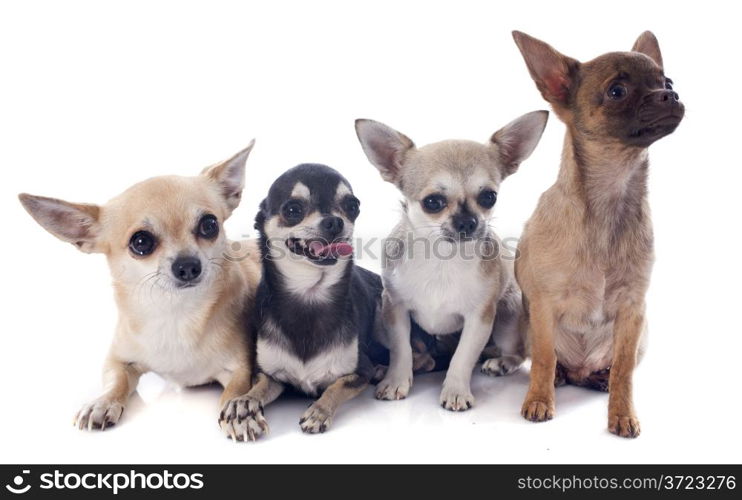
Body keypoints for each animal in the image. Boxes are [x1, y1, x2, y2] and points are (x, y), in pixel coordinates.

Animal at [18, 143, 264, 436]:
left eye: (209, 225)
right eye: (141, 242)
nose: (188, 266)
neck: (177, 314)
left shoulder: (239, 369)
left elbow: (234, 390)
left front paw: (239, 411)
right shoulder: (117, 360)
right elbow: (116, 381)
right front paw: (102, 403)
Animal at [219, 162, 384, 440]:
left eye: (352, 206)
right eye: (293, 209)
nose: (334, 221)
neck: (309, 295)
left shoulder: (360, 371)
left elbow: (337, 386)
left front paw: (319, 410)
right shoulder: (271, 375)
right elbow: (258, 387)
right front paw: (244, 404)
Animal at [354, 113, 548, 410]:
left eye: (489, 197)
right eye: (432, 202)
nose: (469, 221)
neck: (442, 259)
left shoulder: (479, 318)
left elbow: (463, 357)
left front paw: (456, 391)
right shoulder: (393, 308)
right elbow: (401, 350)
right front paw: (395, 381)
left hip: (508, 315)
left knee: (519, 352)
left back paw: (501, 362)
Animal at [516, 32, 688, 438]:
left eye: (667, 81)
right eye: (617, 91)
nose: (670, 95)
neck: (612, 196)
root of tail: (581, 372)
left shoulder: (632, 311)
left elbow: (624, 371)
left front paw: (622, 414)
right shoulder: (543, 307)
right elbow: (544, 358)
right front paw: (539, 400)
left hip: (643, 336)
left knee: (610, 369)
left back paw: (598, 379)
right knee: (554, 363)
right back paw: (560, 378)